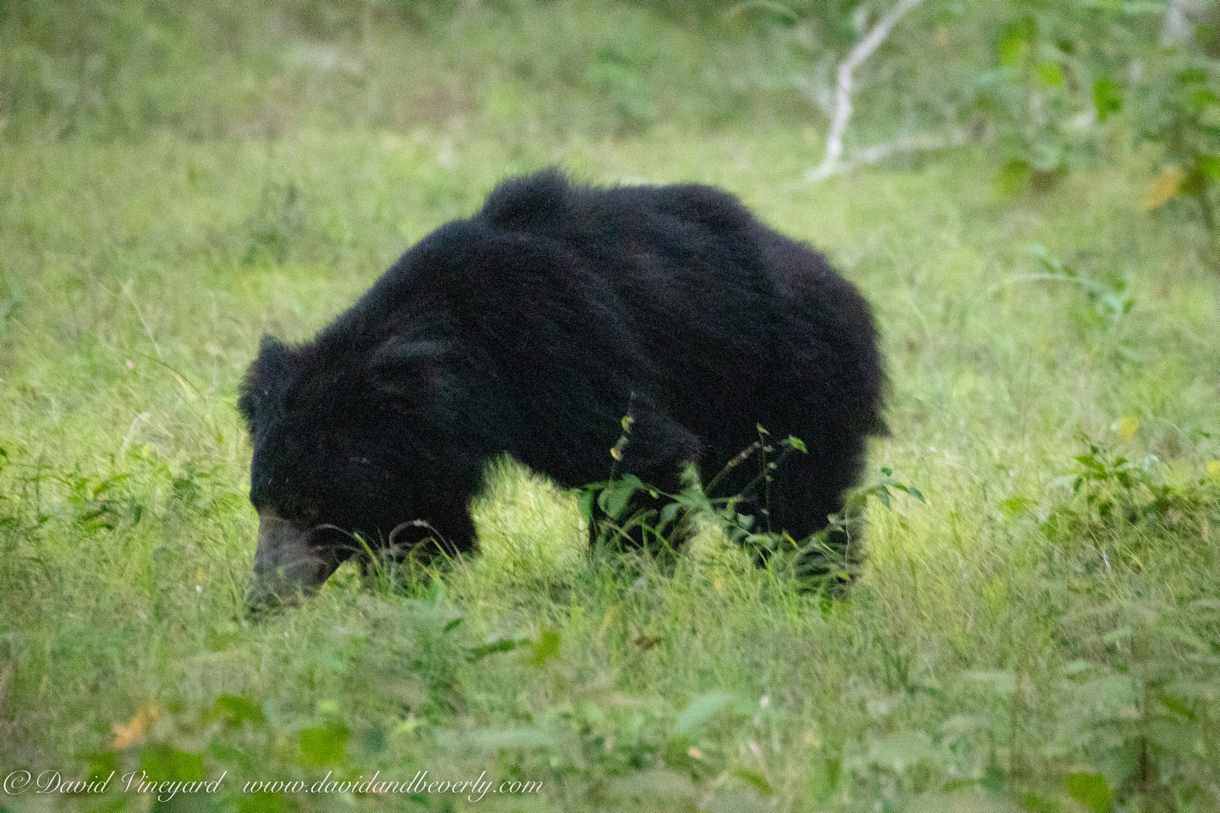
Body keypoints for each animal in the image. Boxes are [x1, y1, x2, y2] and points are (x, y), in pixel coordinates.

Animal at [240, 167, 888, 605]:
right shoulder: (428, 443)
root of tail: (842, 285)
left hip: (786, 377)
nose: (263, 599)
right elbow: (420, 512)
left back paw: (816, 584)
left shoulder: (557, 350)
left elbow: (631, 461)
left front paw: (626, 588)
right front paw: (406, 585)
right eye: (260, 503)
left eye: (307, 505)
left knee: (783, 494)